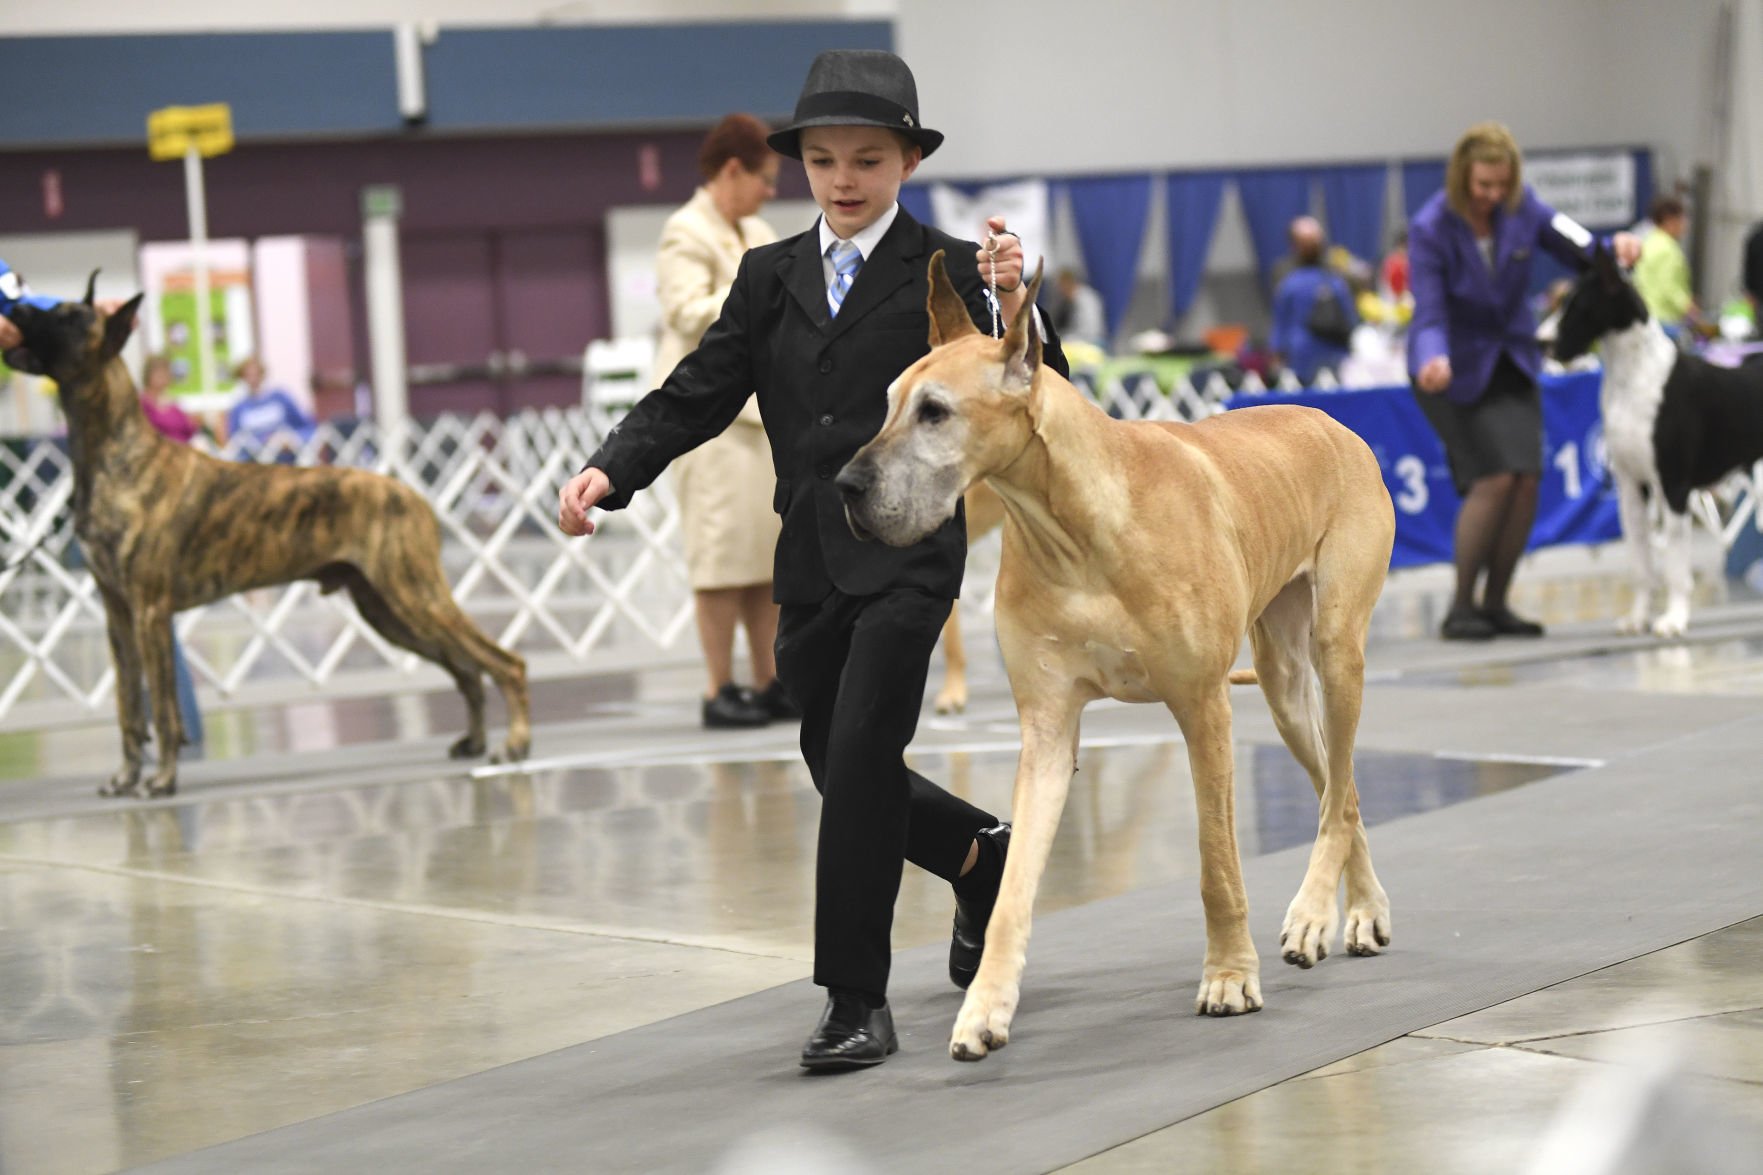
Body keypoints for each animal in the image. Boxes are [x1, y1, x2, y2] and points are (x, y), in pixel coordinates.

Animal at [1551, 241, 1763, 635]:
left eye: (1580, 306)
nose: (1544, 344)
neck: (1633, 375)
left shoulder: (1675, 488)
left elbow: (1676, 566)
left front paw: (1673, 620)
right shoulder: (1632, 488)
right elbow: (1641, 564)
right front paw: (1637, 618)